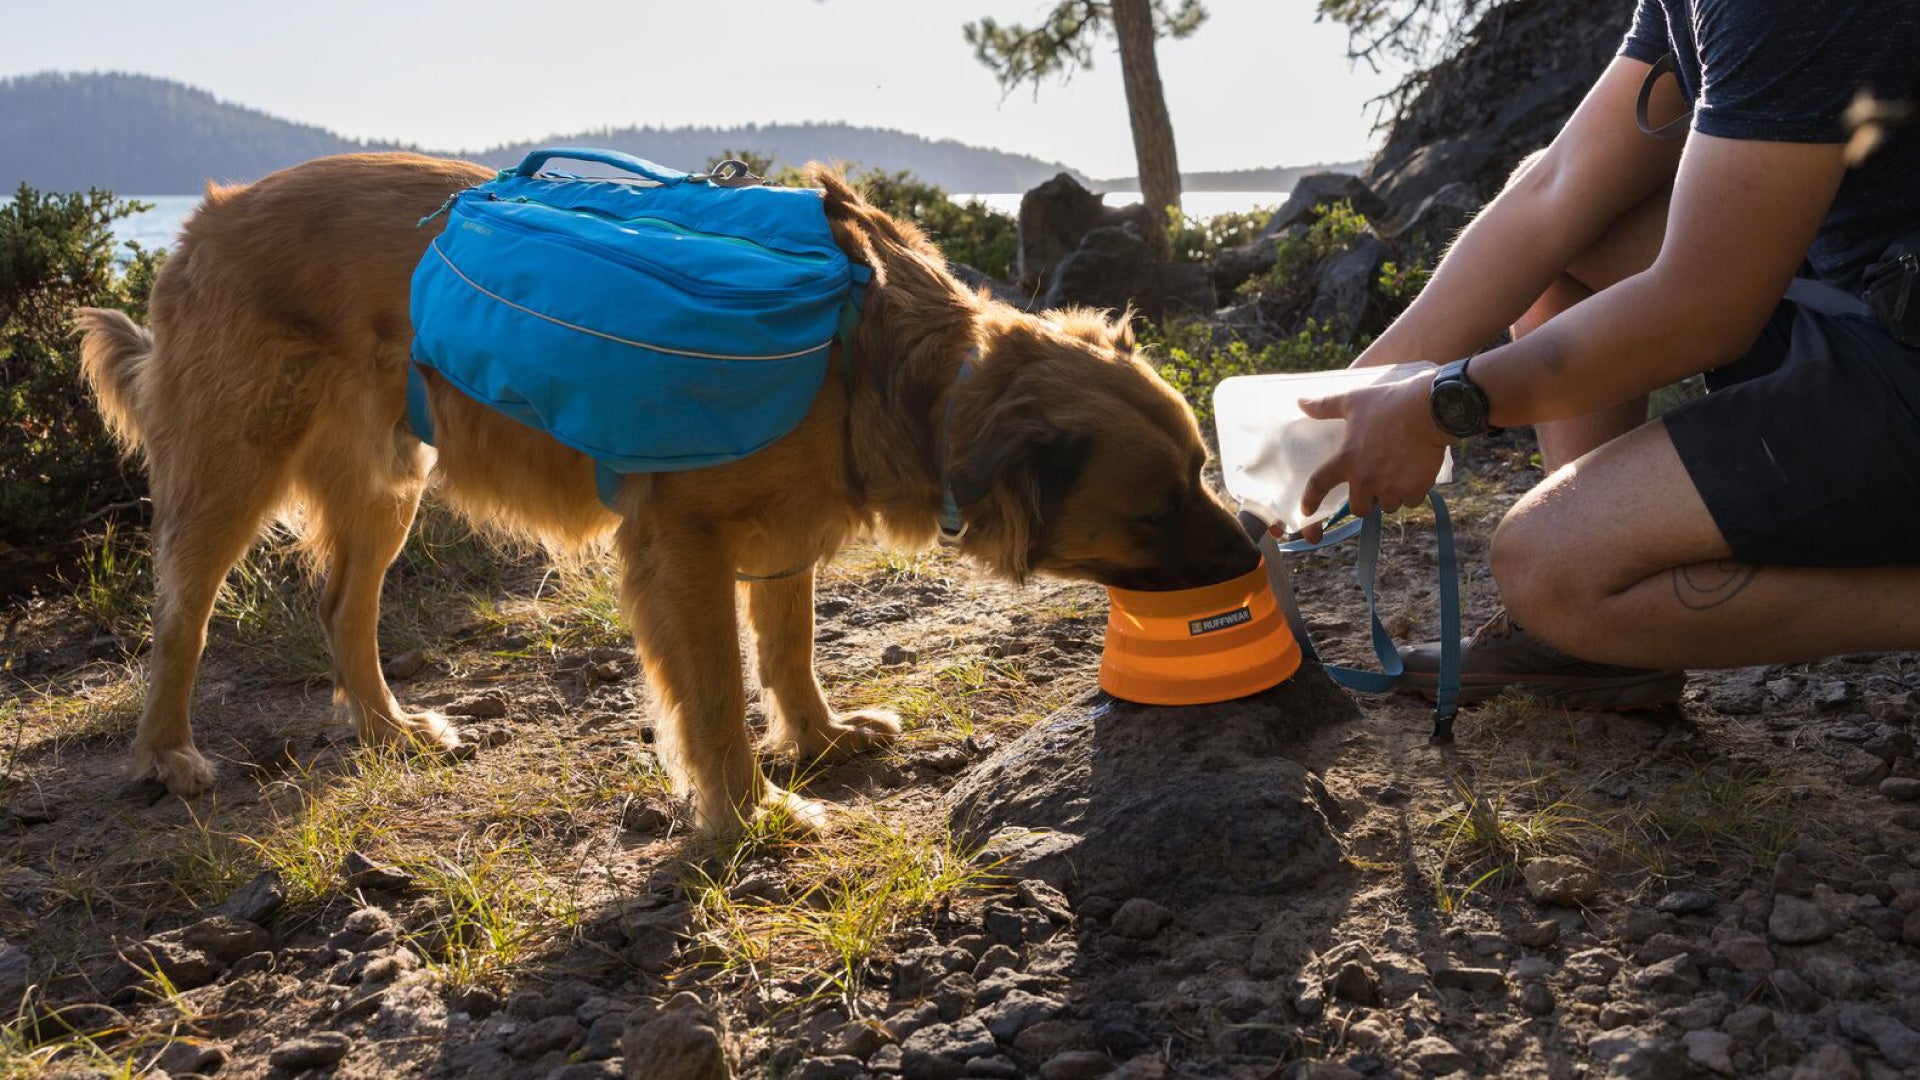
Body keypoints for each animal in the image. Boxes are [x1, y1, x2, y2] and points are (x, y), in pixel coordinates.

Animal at [82, 151, 1259, 826]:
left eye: (1203, 469)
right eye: (1158, 506)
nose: (1254, 555)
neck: (886, 362)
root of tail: (201, 221)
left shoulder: (787, 531)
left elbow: (788, 650)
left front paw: (817, 738)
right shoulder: (680, 548)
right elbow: (715, 697)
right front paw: (751, 813)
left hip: (390, 482)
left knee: (341, 606)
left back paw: (389, 731)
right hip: (234, 468)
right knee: (180, 619)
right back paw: (166, 752)